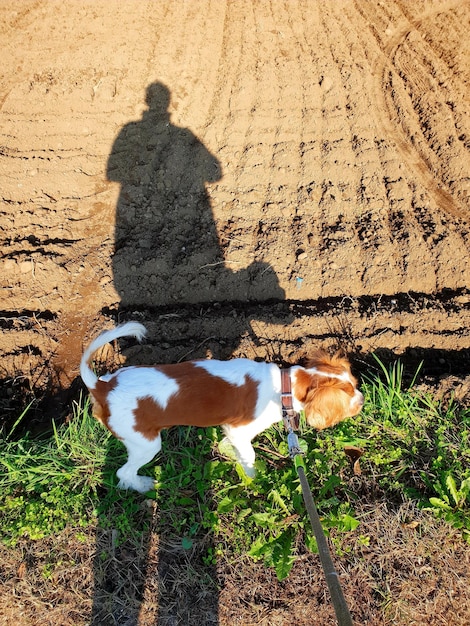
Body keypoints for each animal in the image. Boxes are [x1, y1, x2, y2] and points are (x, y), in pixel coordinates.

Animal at [81, 322, 364, 492]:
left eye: (355, 384)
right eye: (350, 395)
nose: (362, 400)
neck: (284, 385)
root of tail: (103, 387)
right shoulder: (239, 430)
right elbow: (249, 455)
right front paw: (253, 477)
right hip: (145, 443)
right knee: (123, 472)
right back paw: (142, 485)